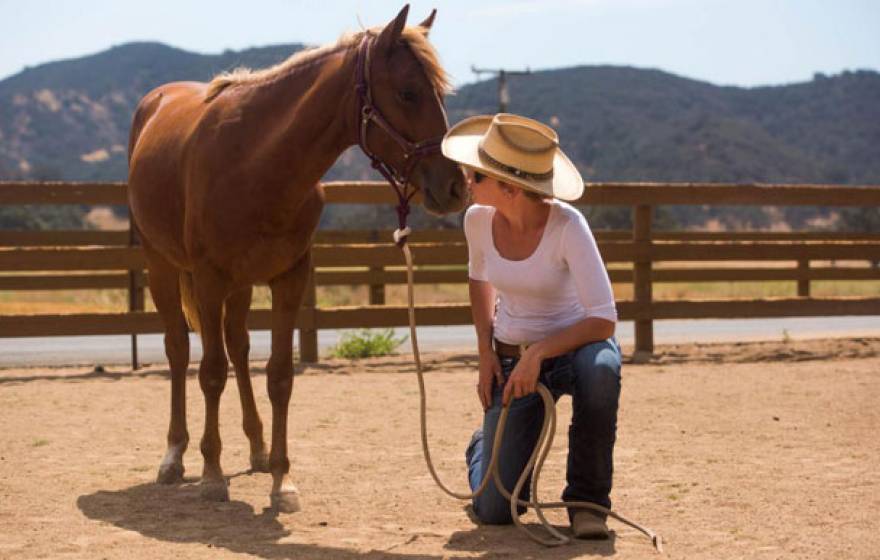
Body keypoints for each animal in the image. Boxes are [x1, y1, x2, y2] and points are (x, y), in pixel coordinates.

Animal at [127, 5, 468, 512]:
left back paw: (256, 447)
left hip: (240, 285)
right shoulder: (208, 279)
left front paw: (281, 479)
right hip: (162, 268)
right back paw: (174, 456)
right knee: (179, 349)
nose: (456, 187)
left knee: (237, 347)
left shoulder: (288, 279)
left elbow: (279, 375)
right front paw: (212, 475)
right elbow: (210, 373)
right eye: (408, 92)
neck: (255, 160)